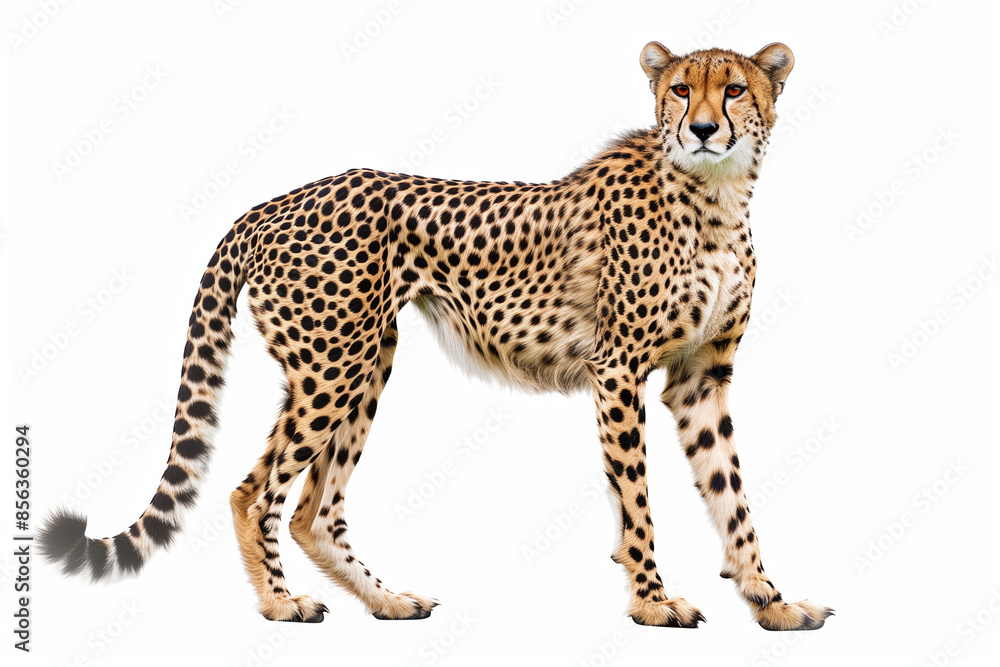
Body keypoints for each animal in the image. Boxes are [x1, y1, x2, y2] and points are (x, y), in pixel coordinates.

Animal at [40, 41, 833, 631]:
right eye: (679, 89)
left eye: (735, 90)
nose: (700, 128)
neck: (716, 195)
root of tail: (274, 201)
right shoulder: (618, 370)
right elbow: (637, 499)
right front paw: (652, 600)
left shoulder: (701, 378)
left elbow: (732, 496)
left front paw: (770, 599)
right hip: (333, 362)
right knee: (252, 491)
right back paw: (279, 603)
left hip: (367, 357)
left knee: (314, 511)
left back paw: (388, 599)